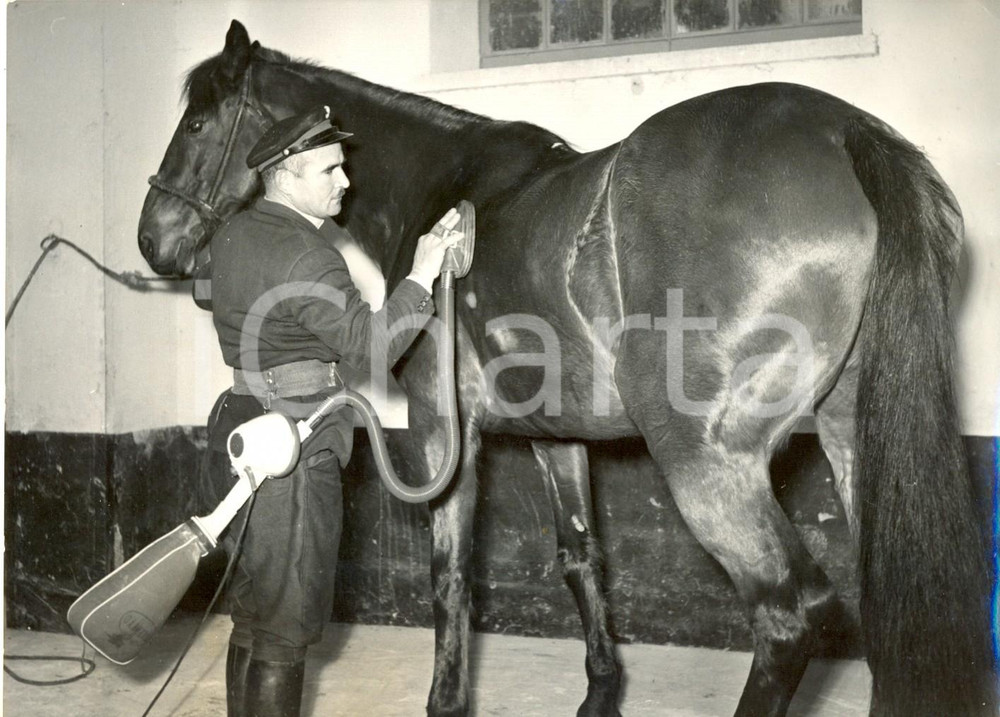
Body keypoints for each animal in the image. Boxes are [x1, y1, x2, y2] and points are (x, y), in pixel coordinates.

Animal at [137, 20, 996, 717]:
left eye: (200, 121)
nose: (154, 240)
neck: (447, 185)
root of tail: (844, 132)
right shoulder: (557, 437)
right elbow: (581, 559)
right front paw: (599, 691)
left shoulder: (444, 437)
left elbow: (451, 578)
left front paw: (446, 698)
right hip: (856, 444)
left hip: (708, 462)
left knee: (790, 616)